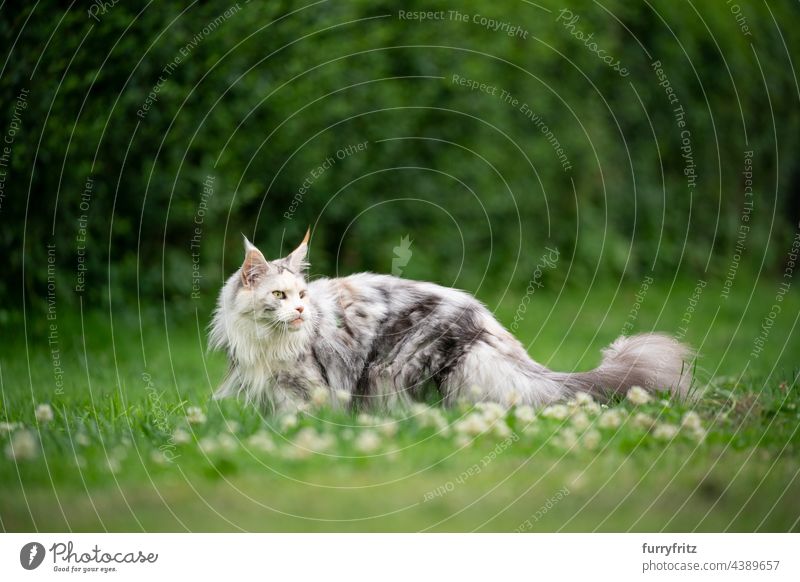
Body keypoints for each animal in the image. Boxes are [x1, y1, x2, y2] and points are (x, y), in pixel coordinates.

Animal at [212, 233, 692, 416]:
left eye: (302, 296)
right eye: (280, 296)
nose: (299, 313)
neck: (266, 343)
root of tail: (486, 324)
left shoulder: (308, 387)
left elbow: (300, 418)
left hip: (392, 371)